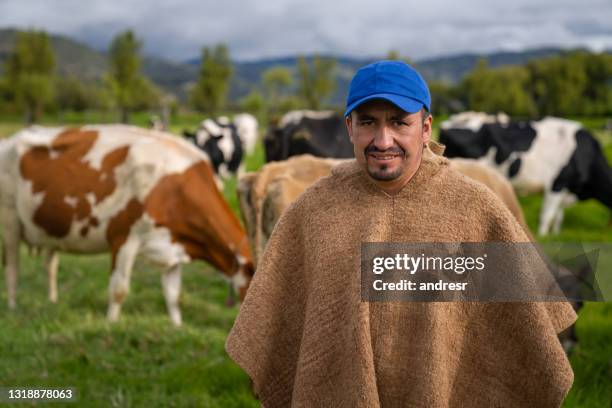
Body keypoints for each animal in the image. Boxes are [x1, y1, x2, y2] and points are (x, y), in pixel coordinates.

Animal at [0, 124, 253, 326]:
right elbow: (119, 290)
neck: (172, 187)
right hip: (10, 219)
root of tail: (10, 139)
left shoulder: (173, 246)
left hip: (51, 228)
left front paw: (177, 327)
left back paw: (52, 301)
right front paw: (111, 325)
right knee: (12, 267)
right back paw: (12, 307)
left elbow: (173, 295)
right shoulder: (123, 237)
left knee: (50, 266)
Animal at [440, 115, 612, 236]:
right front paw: (544, 235)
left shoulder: (565, 189)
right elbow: (547, 215)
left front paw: (556, 233)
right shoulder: (557, 184)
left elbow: (558, 216)